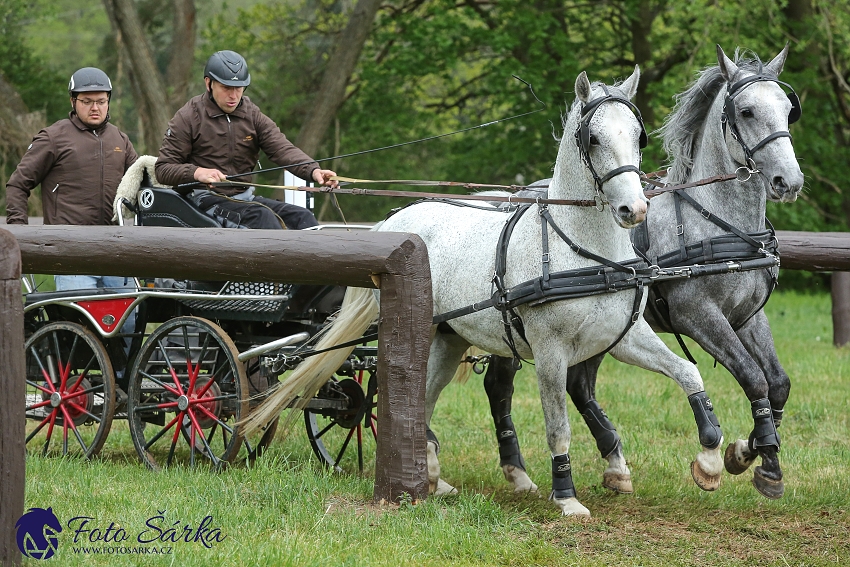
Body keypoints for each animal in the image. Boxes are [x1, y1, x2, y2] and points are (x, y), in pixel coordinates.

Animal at [480, 45, 800, 502]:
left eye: (788, 109)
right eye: (747, 110)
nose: (788, 181)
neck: (713, 221)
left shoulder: (748, 317)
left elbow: (777, 383)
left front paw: (755, 452)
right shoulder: (697, 315)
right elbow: (754, 378)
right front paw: (749, 457)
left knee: (579, 386)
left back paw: (612, 461)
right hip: (518, 330)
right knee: (501, 386)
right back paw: (515, 469)